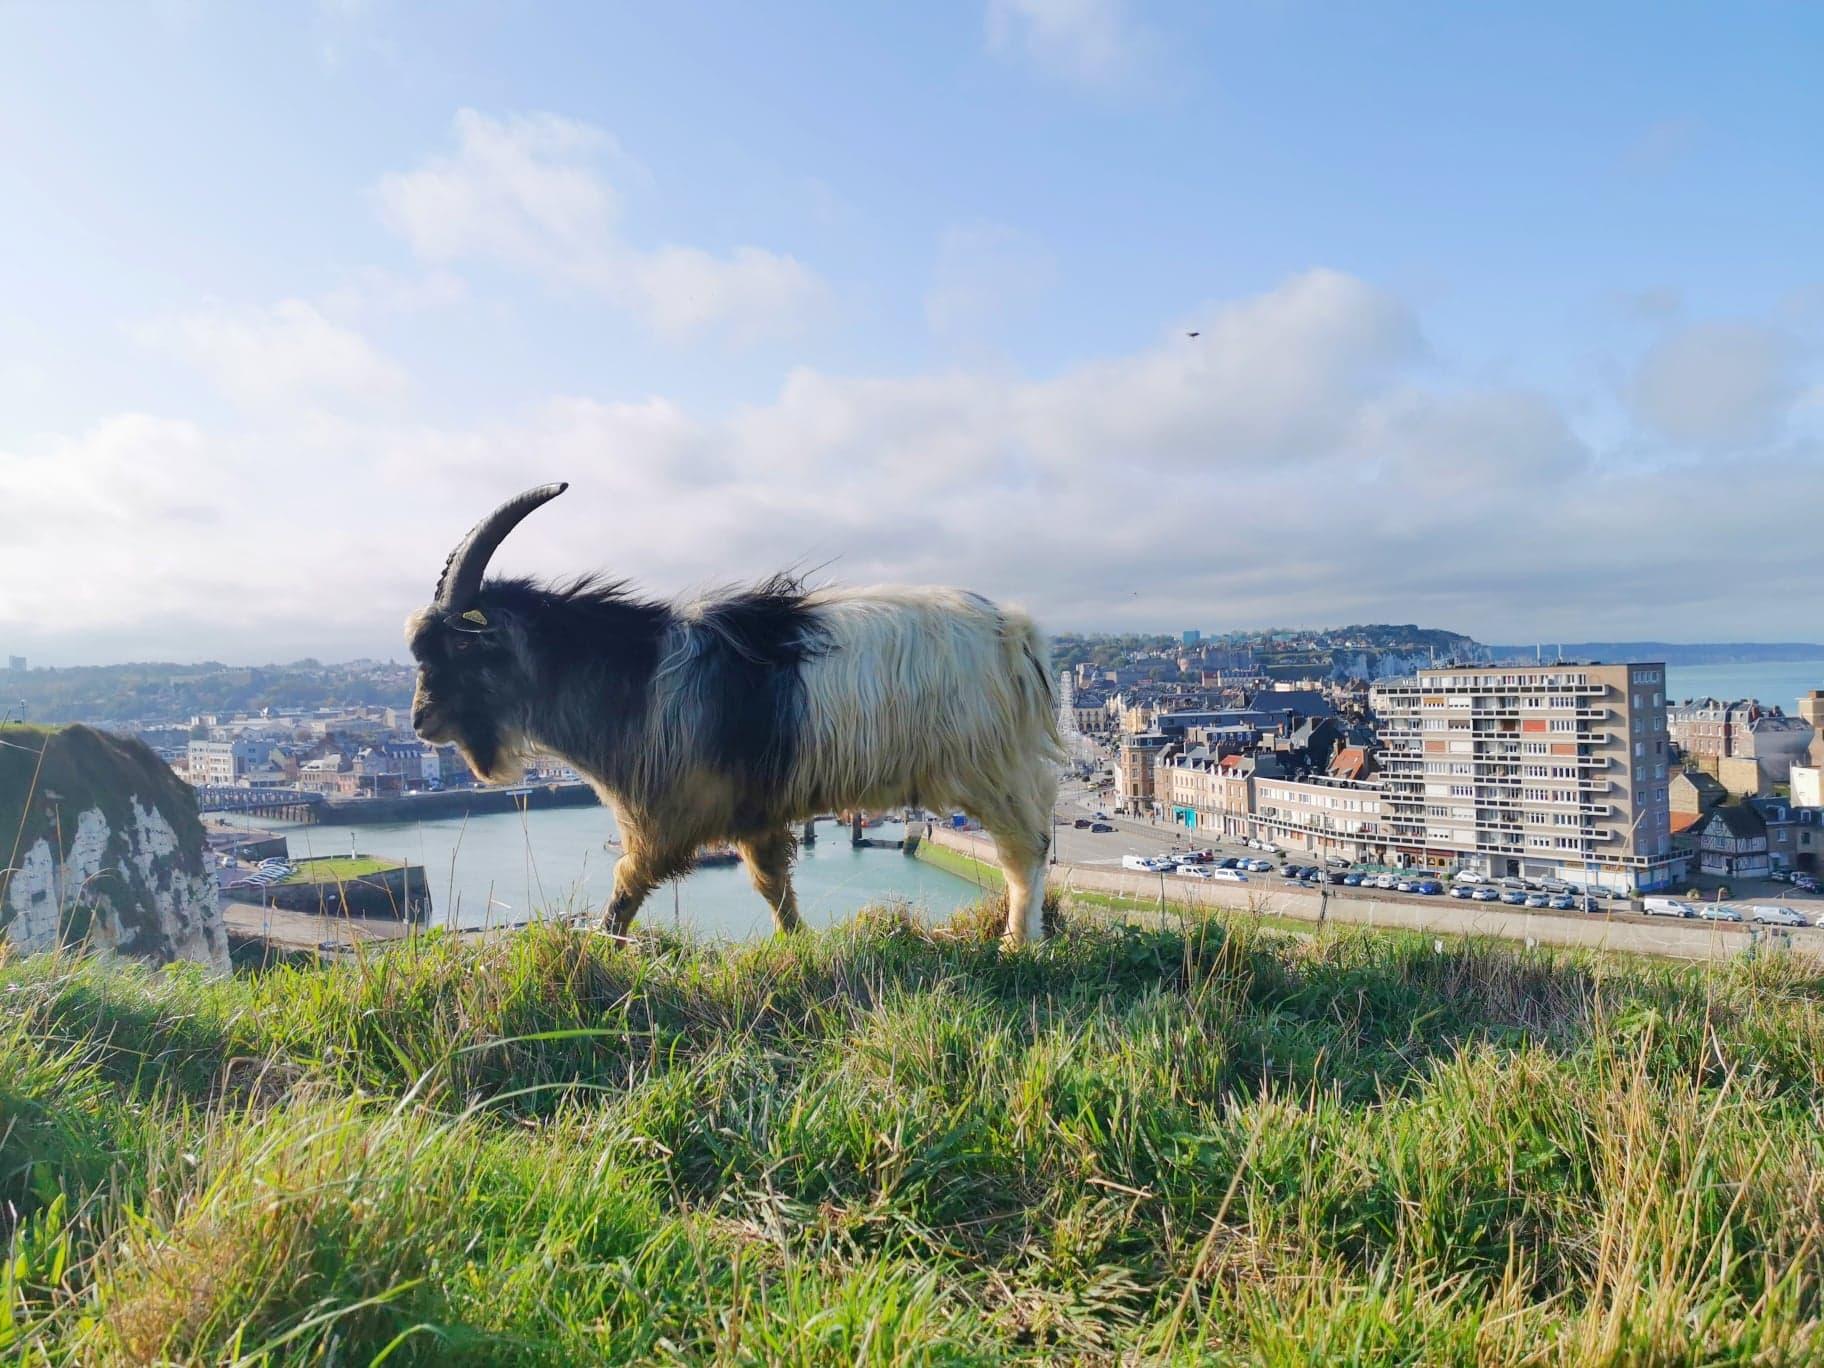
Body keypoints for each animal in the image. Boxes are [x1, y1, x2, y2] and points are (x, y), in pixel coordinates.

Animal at [406, 488, 1065, 948]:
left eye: (458, 646)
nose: (420, 724)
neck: (632, 675)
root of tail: (1015, 632)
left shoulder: (662, 821)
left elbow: (623, 893)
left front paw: (599, 952)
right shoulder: (755, 815)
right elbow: (775, 890)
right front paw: (798, 949)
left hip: (989, 770)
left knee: (1025, 850)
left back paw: (1017, 944)